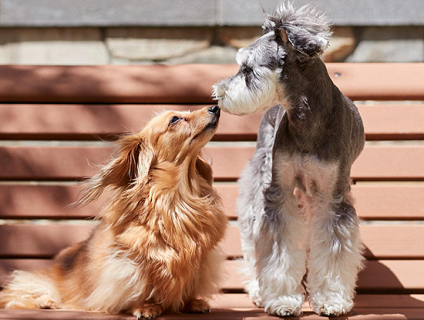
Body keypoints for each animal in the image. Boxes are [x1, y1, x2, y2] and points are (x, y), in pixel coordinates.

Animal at [0, 105, 227, 318]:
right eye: (175, 119)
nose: (215, 108)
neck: (176, 200)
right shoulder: (130, 262)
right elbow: (137, 286)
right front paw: (144, 306)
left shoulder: (201, 260)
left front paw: (193, 301)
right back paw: (46, 301)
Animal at [214, 2, 366, 318]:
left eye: (247, 69)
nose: (218, 94)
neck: (306, 119)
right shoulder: (279, 193)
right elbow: (276, 250)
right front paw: (282, 300)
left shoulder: (333, 198)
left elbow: (333, 250)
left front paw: (331, 299)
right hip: (257, 185)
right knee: (252, 242)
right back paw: (257, 289)